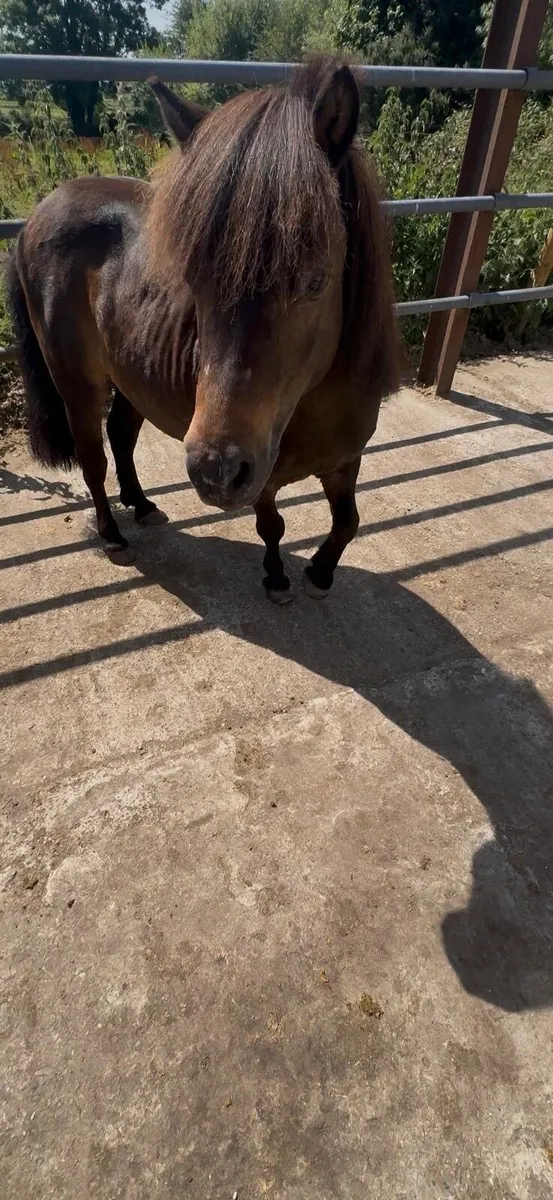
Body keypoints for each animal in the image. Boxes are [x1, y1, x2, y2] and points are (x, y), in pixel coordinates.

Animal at [7, 57, 399, 601]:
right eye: (193, 280)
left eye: (315, 280)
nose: (214, 470)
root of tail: (37, 215)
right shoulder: (262, 474)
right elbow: (272, 526)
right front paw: (277, 577)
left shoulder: (345, 461)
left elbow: (348, 523)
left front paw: (321, 572)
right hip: (78, 384)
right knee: (92, 456)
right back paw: (113, 535)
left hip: (132, 374)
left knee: (121, 435)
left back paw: (143, 505)